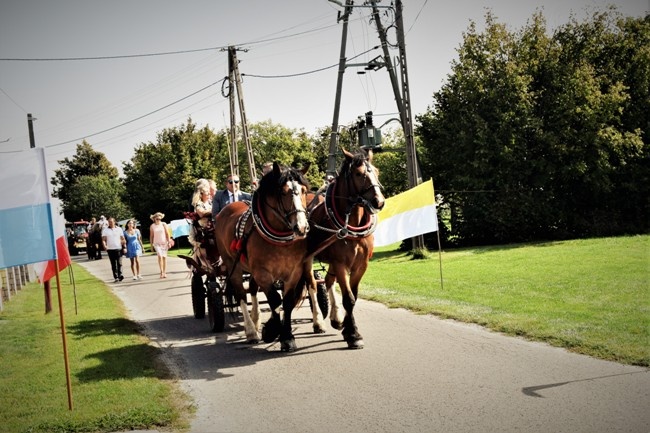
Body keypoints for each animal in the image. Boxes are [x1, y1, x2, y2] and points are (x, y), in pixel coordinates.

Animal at [214, 162, 310, 352]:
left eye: (303, 190)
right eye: (283, 192)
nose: (301, 227)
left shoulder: (293, 272)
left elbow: (286, 302)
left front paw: (287, 337)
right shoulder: (263, 273)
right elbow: (274, 299)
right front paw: (272, 330)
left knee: (251, 289)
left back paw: (256, 320)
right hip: (233, 265)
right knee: (241, 293)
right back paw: (251, 331)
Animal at [304, 148, 384, 348]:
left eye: (376, 172)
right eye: (358, 174)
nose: (379, 202)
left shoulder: (361, 265)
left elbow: (353, 296)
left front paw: (347, 328)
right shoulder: (341, 263)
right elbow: (348, 298)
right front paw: (353, 334)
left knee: (328, 281)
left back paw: (336, 317)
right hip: (308, 259)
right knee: (312, 285)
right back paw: (318, 322)